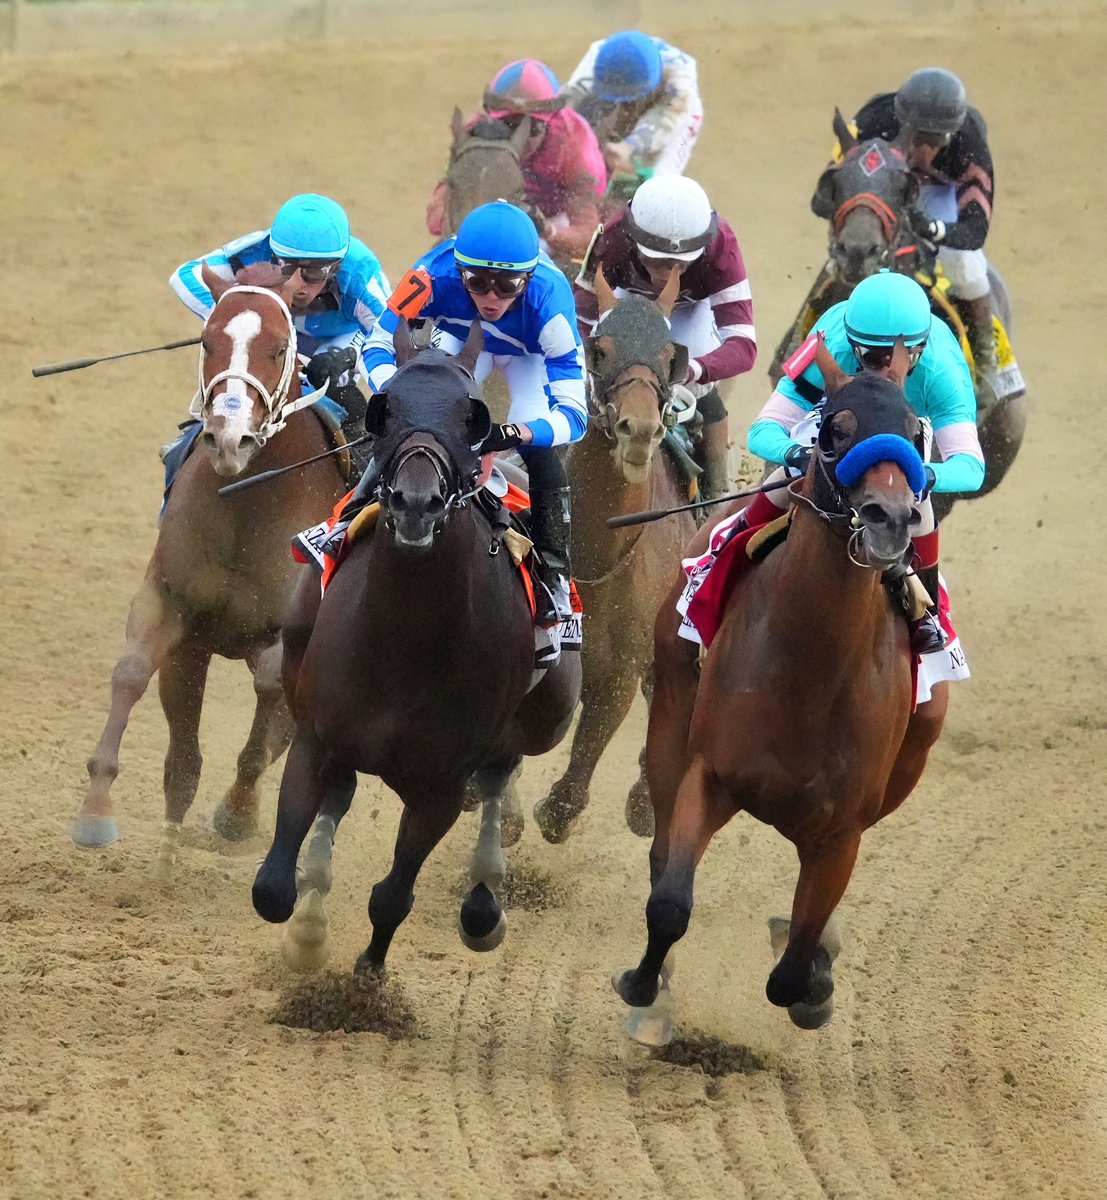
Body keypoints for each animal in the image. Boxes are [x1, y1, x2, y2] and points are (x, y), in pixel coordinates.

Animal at [73, 267, 348, 873]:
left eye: (279, 348)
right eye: (206, 341)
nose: (229, 438)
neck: (244, 504)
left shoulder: (288, 633)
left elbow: (268, 698)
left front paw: (238, 814)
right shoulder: (170, 604)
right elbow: (131, 674)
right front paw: (96, 812)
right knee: (185, 757)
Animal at [249, 324, 578, 979]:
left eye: (469, 415)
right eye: (388, 407)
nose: (415, 503)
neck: (405, 643)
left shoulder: (441, 786)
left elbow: (394, 895)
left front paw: (367, 979)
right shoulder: (317, 738)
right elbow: (273, 888)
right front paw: (307, 934)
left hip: (547, 715)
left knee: (500, 773)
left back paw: (484, 904)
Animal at [612, 340, 950, 1041]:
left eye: (916, 435)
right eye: (834, 432)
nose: (891, 519)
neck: (811, 670)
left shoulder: (843, 829)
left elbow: (793, 965)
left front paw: (816, 980)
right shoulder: (710, 775)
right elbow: (671, 902)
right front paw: (642, 985)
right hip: (671, 712)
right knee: (659, 846)